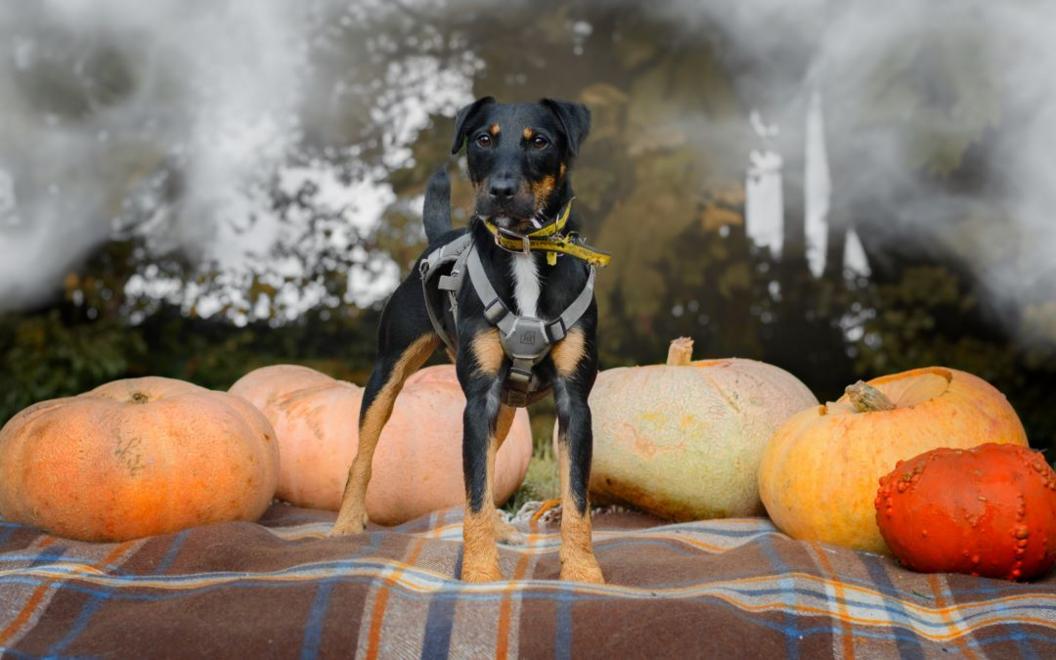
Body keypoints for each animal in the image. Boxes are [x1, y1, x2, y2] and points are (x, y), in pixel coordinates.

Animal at [329, 96, 604, 582]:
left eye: (540, 141)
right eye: (482, 139)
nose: (500, 190)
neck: (526, 251)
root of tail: (441, 235)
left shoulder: (574, 401)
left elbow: (575, 499)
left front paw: (583, 572)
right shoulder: (478, 399)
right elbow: (474, 492)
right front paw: (479, 575)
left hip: (505, 408)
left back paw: (503, 529)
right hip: (387, 374)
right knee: (362, 457)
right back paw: (346, 524)